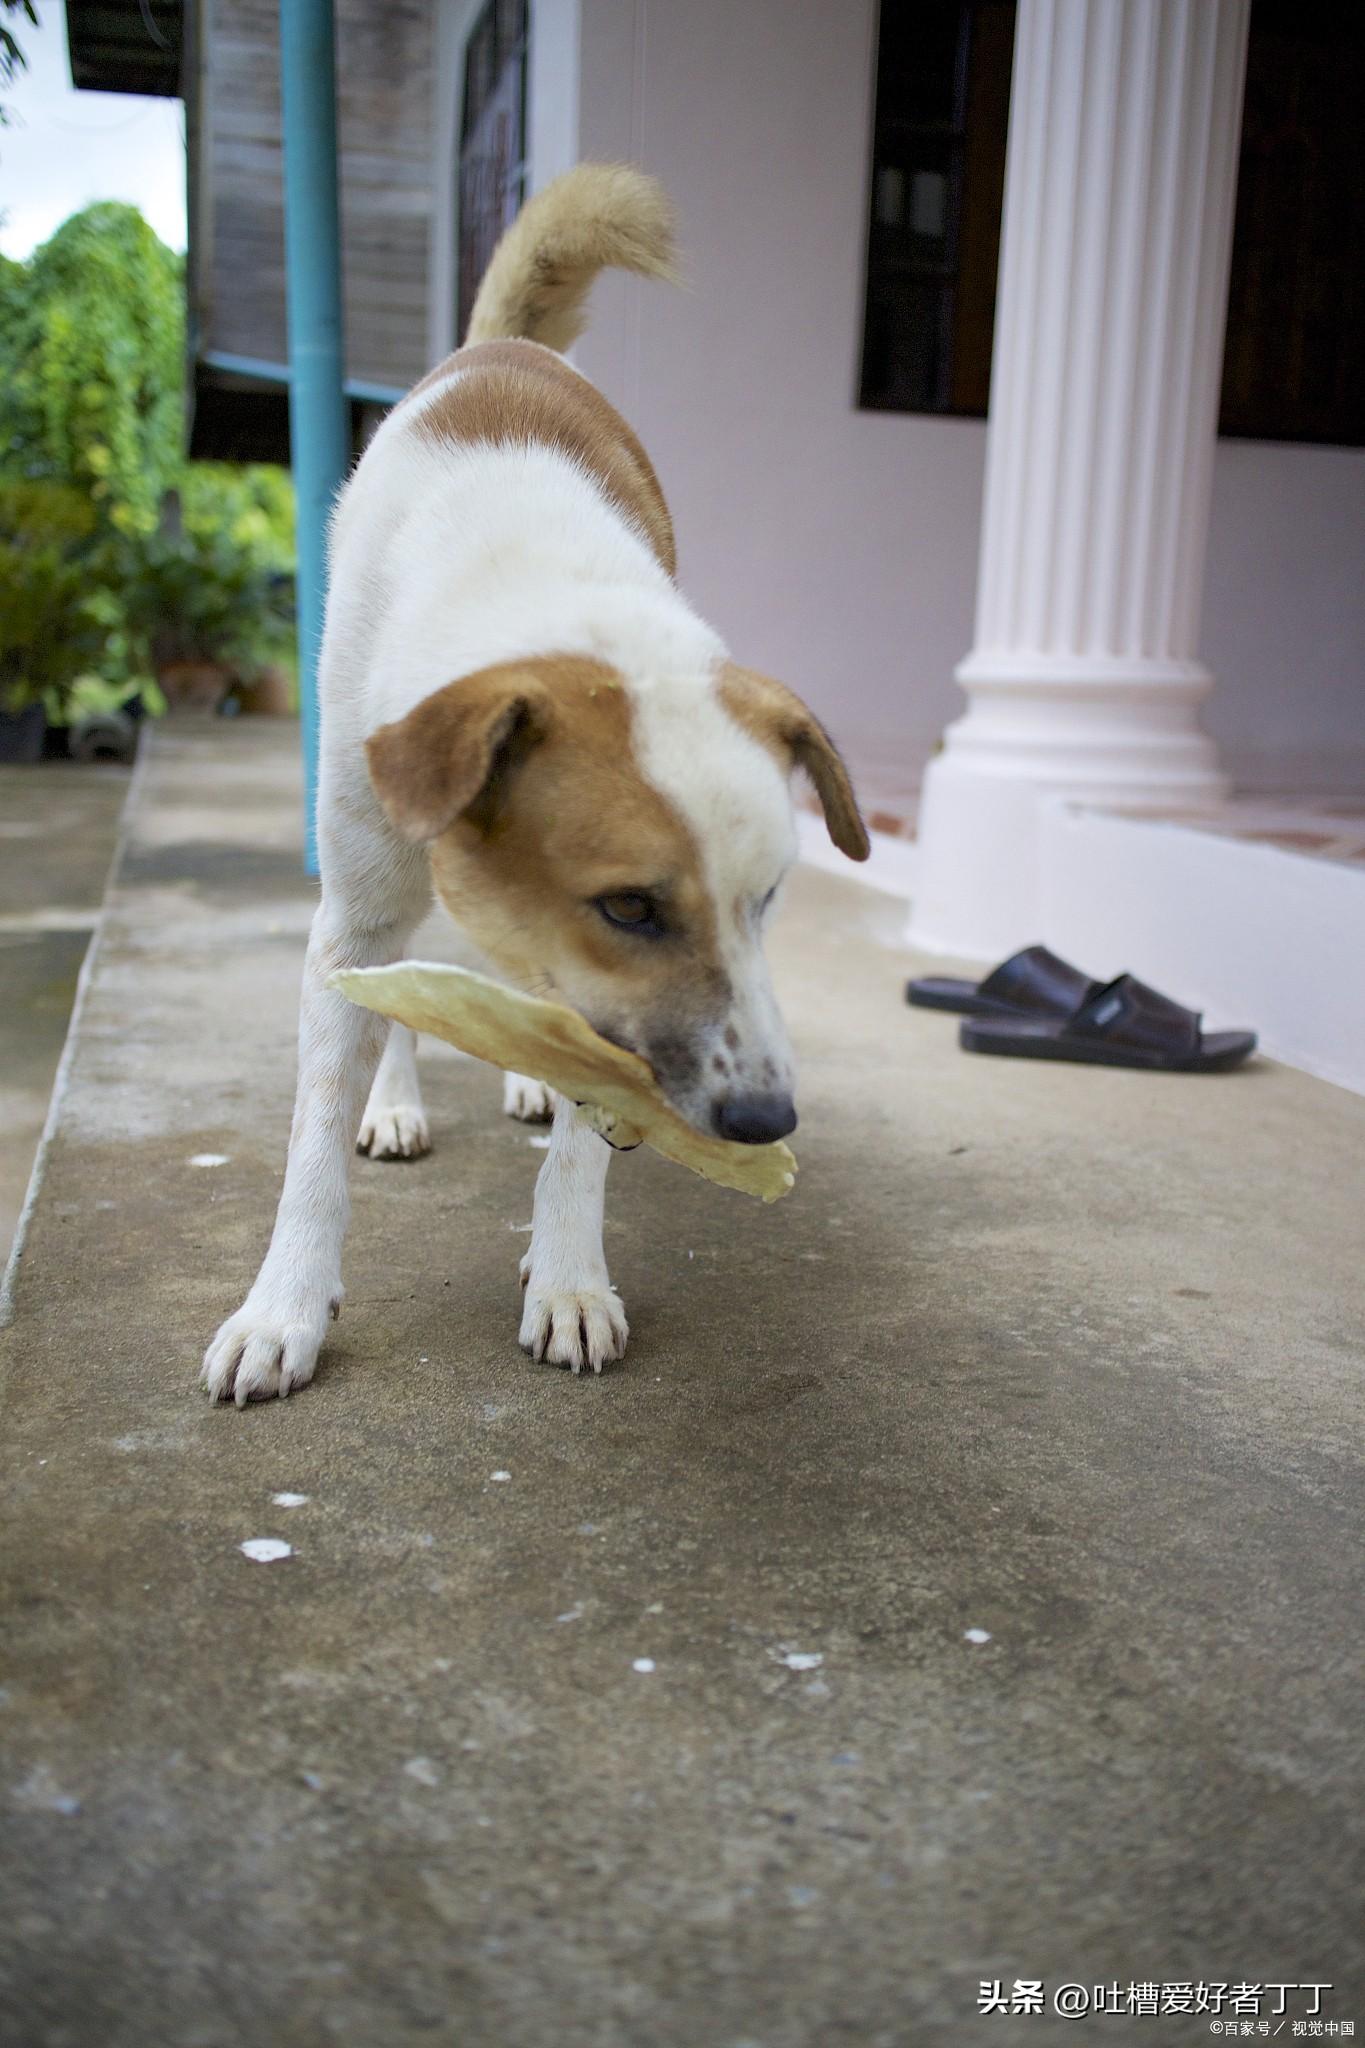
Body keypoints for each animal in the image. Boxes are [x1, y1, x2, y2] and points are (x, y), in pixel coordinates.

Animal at [202, 163, 863, 1409]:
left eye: (767, 901)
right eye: (631, 905)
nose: (765, 1120)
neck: (548, 602)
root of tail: (502, 347)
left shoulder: (600, 1006)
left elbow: (585, 1121)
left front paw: (567, 1275)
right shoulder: (358, 901)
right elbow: (315, 1130)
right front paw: (283, 1305)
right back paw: (398, 1099)